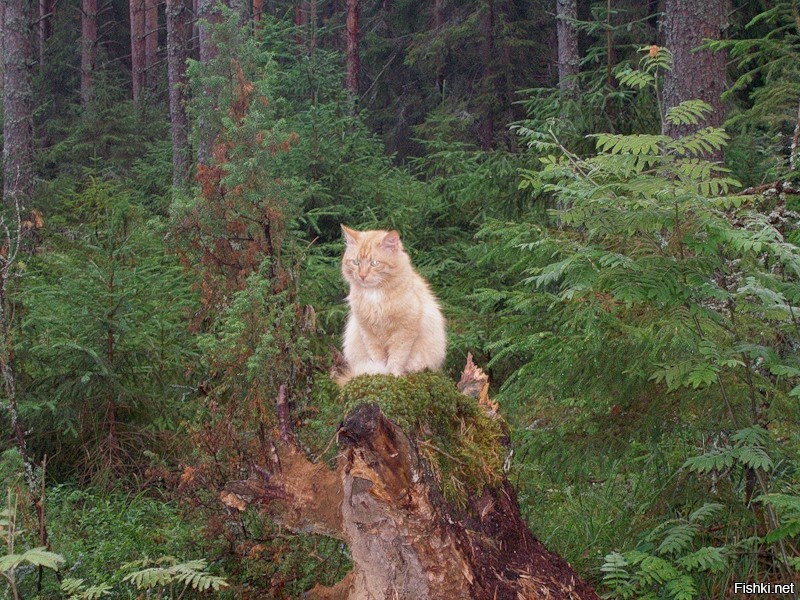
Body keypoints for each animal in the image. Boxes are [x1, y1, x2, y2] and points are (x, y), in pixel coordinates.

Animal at [334, 224, 446, 384]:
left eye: (374, 263)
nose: (362, 276)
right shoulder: (368, 332)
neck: (375, 294)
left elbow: (397, 358)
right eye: (356, 262)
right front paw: (380, 373)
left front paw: (393, 375)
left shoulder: (404, 330)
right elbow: (378, 358)